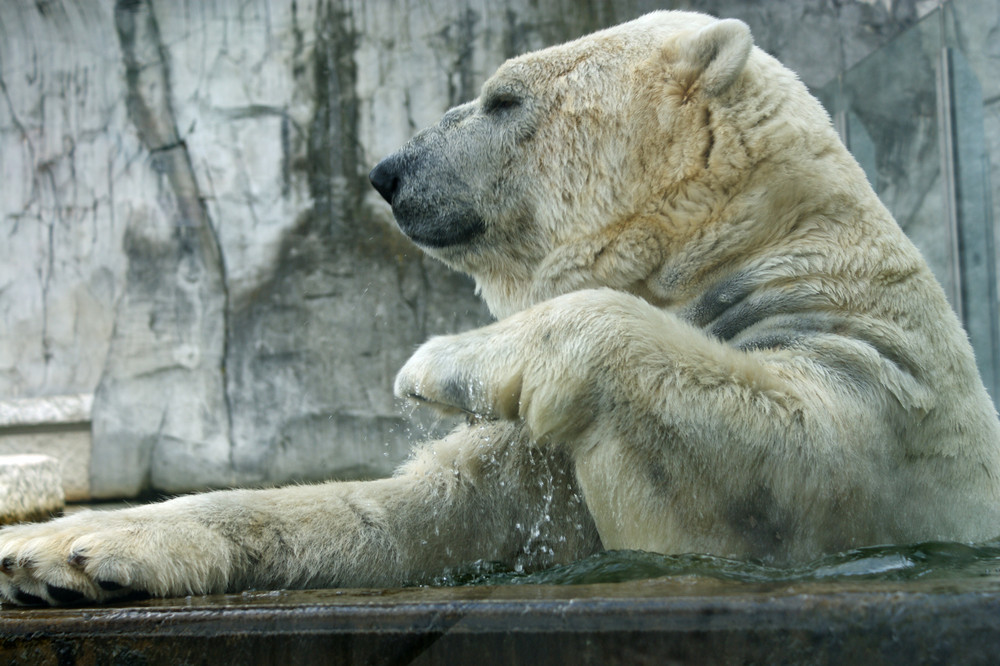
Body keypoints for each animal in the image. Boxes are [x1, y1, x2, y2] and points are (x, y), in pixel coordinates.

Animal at [1, 11, 1000, 600]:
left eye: (502, 97)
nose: (387, 172)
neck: (749, 242)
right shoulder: (533, 476)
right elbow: (405, 517)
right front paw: (64, 550)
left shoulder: (878, 377)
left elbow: (771, 458)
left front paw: (445, 359)